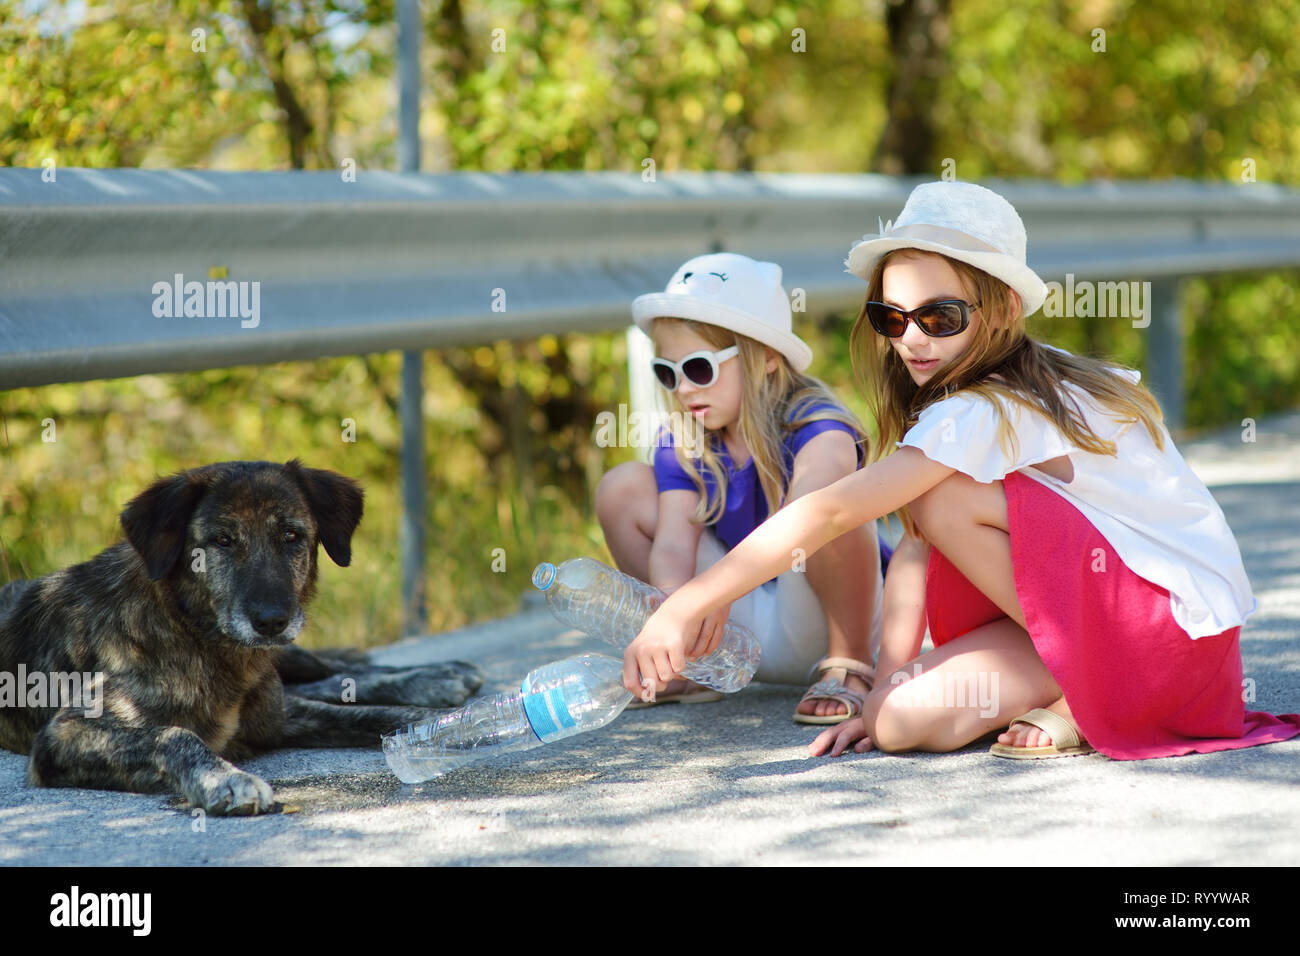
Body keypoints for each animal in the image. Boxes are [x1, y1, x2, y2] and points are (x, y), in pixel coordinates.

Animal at [0, 463, 483, 816]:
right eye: (222, 540)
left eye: (291, 535)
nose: (271, 621)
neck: (199, 638)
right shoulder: (64, 735)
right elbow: (171, 734)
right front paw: (226, 778)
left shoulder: (278, 715)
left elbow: (378, 714)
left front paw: (451, 723)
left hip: (289, 658)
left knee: (329, 671)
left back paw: (438, 675)